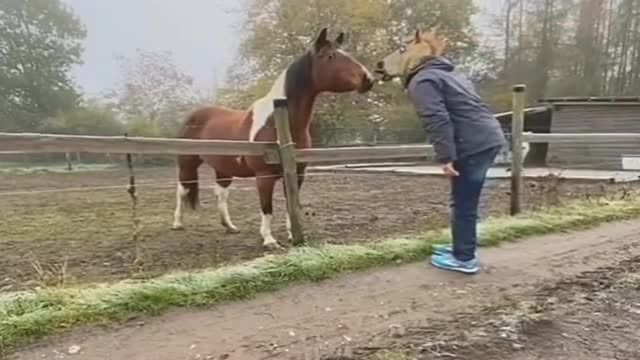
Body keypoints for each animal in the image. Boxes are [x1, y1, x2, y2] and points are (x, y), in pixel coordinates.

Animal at [172, 28, 378, 250]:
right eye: (331, 56)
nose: (368, 79)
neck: (277, 122)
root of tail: (192, 116)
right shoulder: (264, 176)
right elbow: (266, 206)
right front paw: (269, 240)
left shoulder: (297, 174)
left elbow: (291, 205)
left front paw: (292, 235)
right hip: (187, 164)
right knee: (182, 190)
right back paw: (177, 223)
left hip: (224, 168)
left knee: (220, 193)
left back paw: (230, 227)